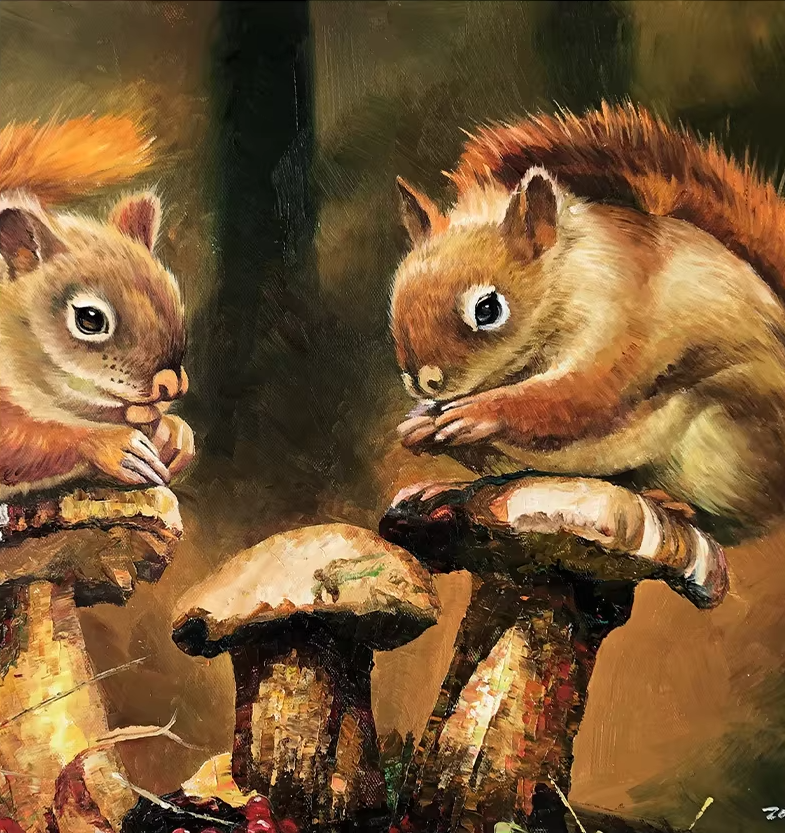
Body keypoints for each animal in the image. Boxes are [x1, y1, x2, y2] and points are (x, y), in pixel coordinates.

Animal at [0, 114, 194, 499]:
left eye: (173, 294)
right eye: (89, 319)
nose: (171, 384)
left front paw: (175, 434)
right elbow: (21, 443)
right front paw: (112, 445)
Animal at [390, 101, 785, 544]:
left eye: (487, 309)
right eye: (396, 293)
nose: (423, 381)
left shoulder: (624, 322)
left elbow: (580, 395)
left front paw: (480, 412)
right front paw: (418, 425)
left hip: (728, 449)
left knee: (739, 521)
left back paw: (677, 504)